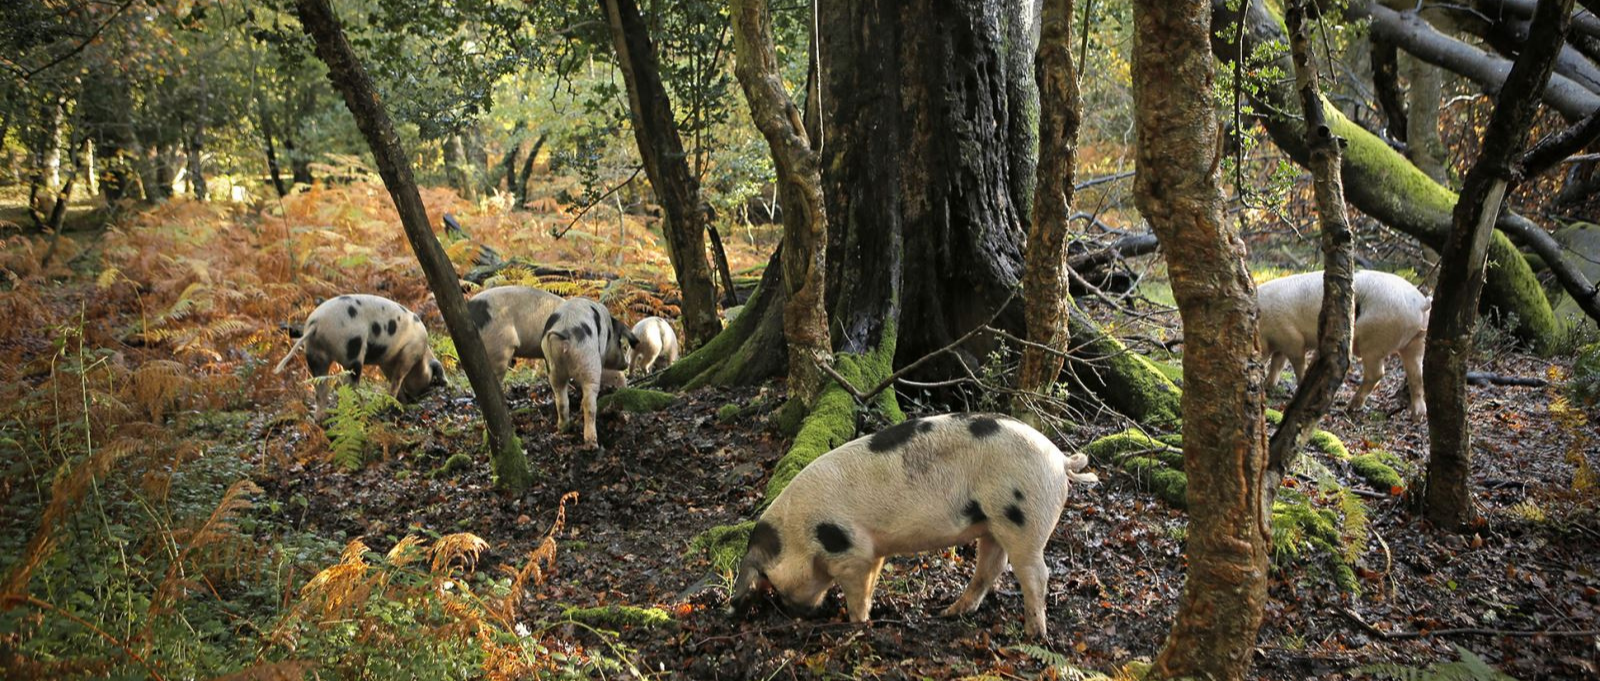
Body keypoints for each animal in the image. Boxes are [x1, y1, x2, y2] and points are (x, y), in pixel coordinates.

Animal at [275, 290, 448, 415]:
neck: (423, 356)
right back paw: (362, 409)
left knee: (321, 390)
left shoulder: (385, 361)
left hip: (315, 355)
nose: (422, 395)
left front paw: (401, 401)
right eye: (431, 378)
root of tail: (315, 324)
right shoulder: (409, 353)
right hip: (353, 350)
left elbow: (393, 379)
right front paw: (395, 404)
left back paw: (321, 421)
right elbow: (397, 380)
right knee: (348, 384)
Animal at [537, 297, 636, 447]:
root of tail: (565, 331)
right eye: (620, 342)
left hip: (552, 367)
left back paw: (563, 429)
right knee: (589, 403)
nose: (626, 364)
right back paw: (592, 444)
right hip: (589, 361)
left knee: (561, 400)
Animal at [732, 412, 1100, 642]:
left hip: (1023, 519)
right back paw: (949, 612)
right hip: (993, 524)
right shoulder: (872, 552)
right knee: (992, 567)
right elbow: (871, 582)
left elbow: (856, 592)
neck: (801, 538)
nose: (799, 614)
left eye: (771, 581)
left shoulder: (851, 552)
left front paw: (857, 624)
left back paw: (1034, 634)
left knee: (1035, 574)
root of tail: (1059, 459)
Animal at [1254, 271, 1433, 415]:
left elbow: (1296, 362)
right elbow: (1278, 362)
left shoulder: (1293, 339)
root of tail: (1421, 304)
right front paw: (1269, 384)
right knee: (1417, 374)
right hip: (1416, 341)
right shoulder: (1282, 341)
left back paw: (1350, 407)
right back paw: (1417, 415)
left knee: (1377, 374)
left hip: (1375, 342)